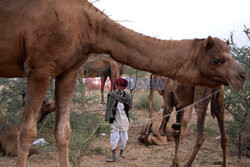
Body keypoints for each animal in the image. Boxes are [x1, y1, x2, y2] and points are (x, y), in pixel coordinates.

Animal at [0, 0, 246, 166]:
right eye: (217, 59)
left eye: (229, 52)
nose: (242, 76)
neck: (87, 25)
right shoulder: (40, 68)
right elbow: (27, 133)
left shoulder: (69, 70)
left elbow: (63, 132)